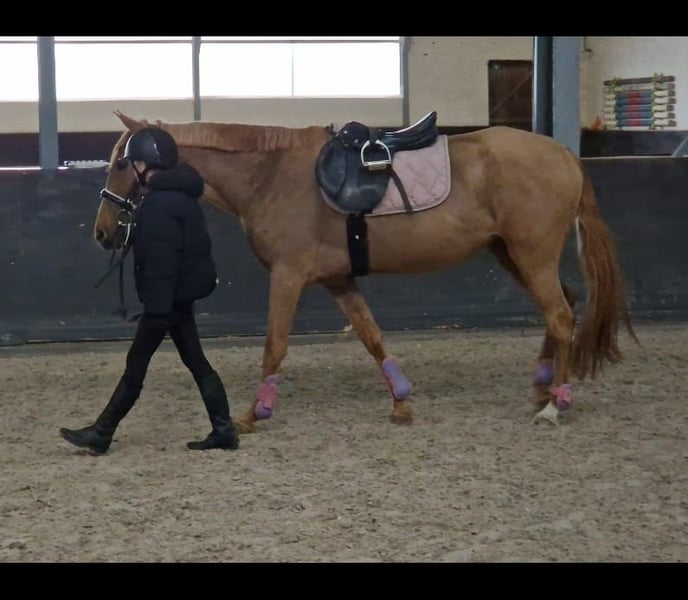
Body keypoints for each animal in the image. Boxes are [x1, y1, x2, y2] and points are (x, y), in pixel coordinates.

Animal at [94, 109, 637, 433]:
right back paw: (544, 386)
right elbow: (371, 335)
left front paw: (253, 413)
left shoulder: (288, 276)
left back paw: (553, 404)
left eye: (122, 164)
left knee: (562, 317)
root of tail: (563, 154)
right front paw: (400, 401)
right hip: (512, 253)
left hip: (531, 253)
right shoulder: (338, 279)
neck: (271, 175)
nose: (102, 232)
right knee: (561, 310)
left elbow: (275, 346)